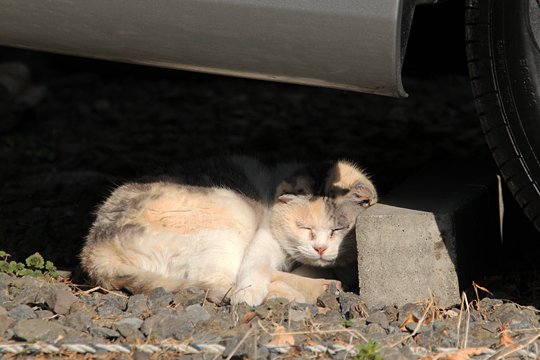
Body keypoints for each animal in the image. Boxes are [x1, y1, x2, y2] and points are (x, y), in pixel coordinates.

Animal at [80, 156, 378, 306]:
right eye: (303, 226)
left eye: (339, 229)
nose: (320, 248)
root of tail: (94, 251)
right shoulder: (264, 240)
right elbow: (253, 272)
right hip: (230, 214)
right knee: (221, 283)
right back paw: (305, 291)